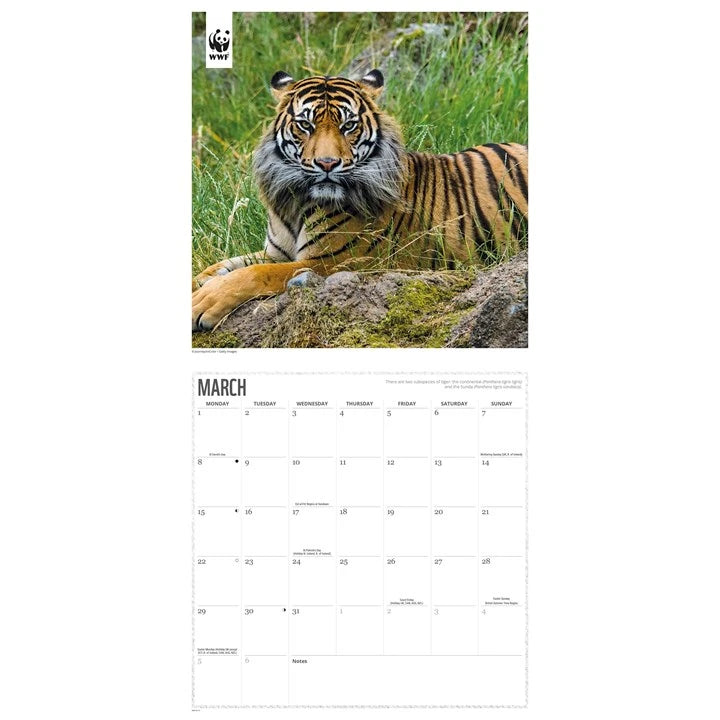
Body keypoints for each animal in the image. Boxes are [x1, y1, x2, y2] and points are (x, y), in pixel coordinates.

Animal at [192, 69, 528, 331]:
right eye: (306, 125)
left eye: (348, 126)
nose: (327, 164)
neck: (296, 201)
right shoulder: (277, 252)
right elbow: (223, 266)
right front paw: (202, 281)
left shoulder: (336, 261)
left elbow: (256, 274)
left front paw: (205, 302)